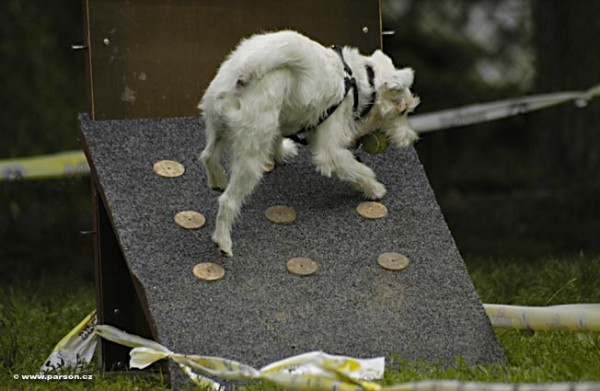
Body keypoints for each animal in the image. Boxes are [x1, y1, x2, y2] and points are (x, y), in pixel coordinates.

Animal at [199, 30, 420, 258]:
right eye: (403, 111)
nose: (412, 139)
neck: (359, 82)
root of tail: (241, 74)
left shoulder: (284, 115)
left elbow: (278, 138)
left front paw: (282, 152)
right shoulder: (330, 152)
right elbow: (358, 169)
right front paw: (375, 188)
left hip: (218, 126)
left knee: (208, 155)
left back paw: (217, 180)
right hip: (250, 157)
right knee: (228, 200)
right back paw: (223, 242)